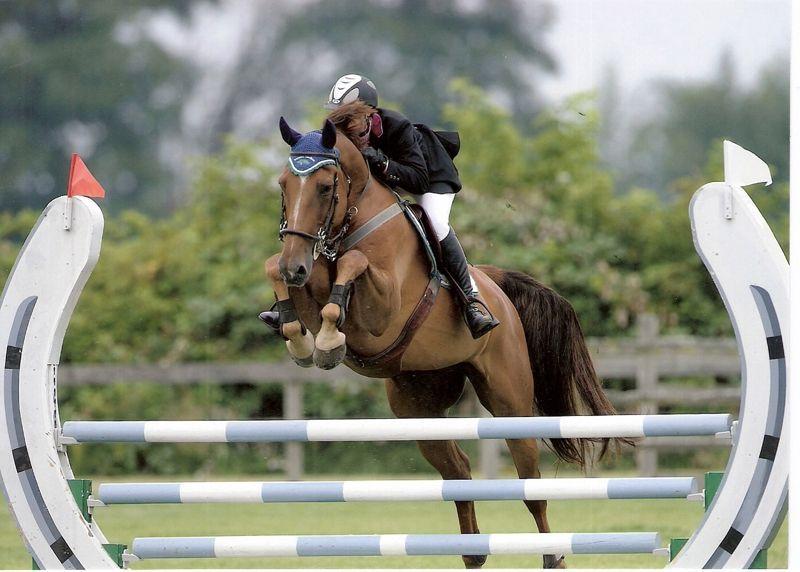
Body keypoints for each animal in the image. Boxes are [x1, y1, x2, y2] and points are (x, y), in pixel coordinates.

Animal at [266, 115, 628, 568]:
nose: (294, 265)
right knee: (457, 470)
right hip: (419, 409)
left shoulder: (381, 312)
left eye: (326, 187)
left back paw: (552, 557)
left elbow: (353, 263)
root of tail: (495, 287)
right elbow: (278, 272)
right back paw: (473, 553)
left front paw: (327, 342)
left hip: (509, 402)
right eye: (283, 184)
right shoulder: (312, 280)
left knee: (531, 486)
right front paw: (299, 339)